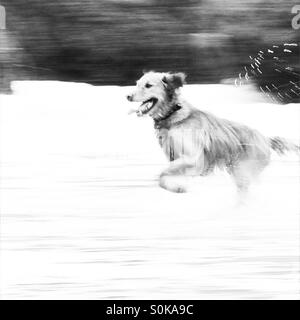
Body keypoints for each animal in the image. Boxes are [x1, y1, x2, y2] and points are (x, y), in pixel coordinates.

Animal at [126, 72, 298, 192]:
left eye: (148, 85)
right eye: (137, 84)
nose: (127, 96)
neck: (174, 116)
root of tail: (265, 138)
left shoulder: (193, 159)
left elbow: (162, 174)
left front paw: (177, 187)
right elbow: (164, 177)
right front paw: (177, 187)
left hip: (244, 170)